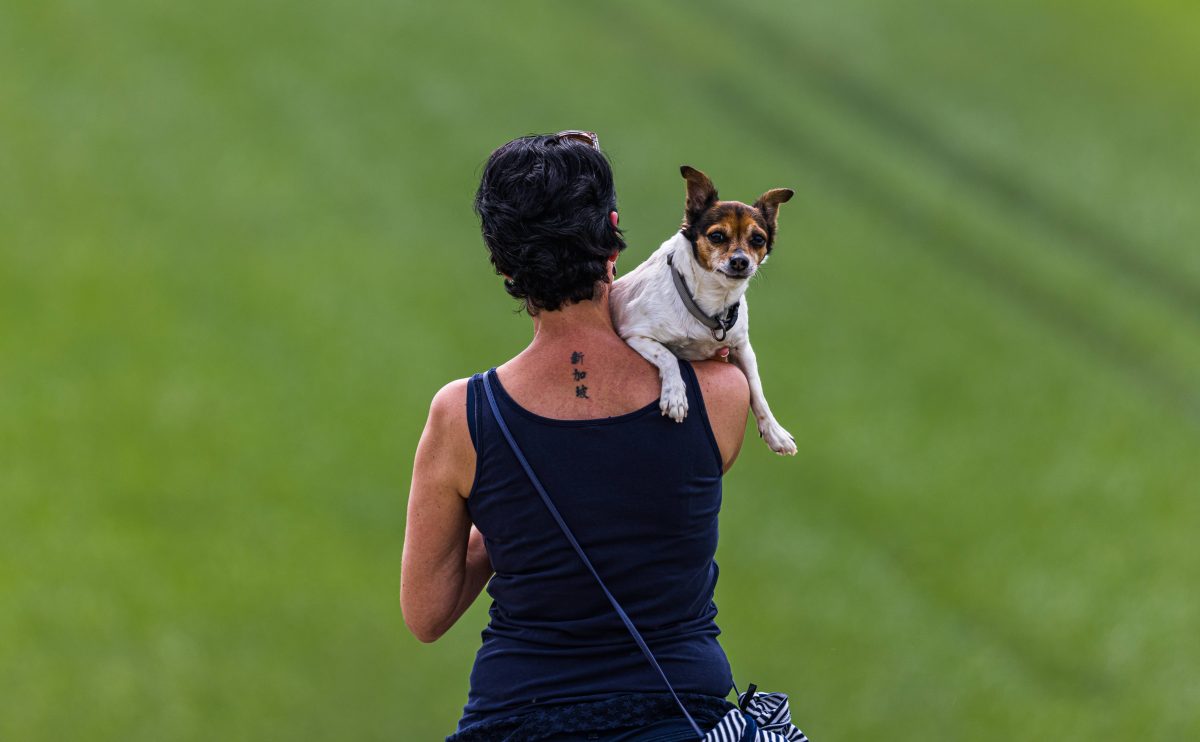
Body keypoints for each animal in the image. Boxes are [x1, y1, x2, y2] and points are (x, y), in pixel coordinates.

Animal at [609, 166, 796, 453]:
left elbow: (756, 388)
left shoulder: (742, 348)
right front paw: (675, 397)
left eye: (758, 240)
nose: (740, 261)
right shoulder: (635, 334)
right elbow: (669, 356)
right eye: (717, 236)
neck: (712, 302)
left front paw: (775, 432)